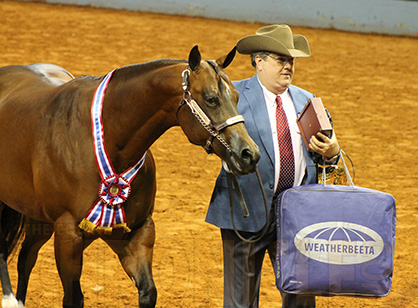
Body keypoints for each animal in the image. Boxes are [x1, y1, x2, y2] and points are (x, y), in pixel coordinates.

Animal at [0, 46, 258, 308]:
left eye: (236, 97)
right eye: (211, 99)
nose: (249, 154)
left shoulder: (136, 232)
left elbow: (148, 292)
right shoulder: (68, 234)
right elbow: (73, 298)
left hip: (38, 217)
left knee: (25, 257)